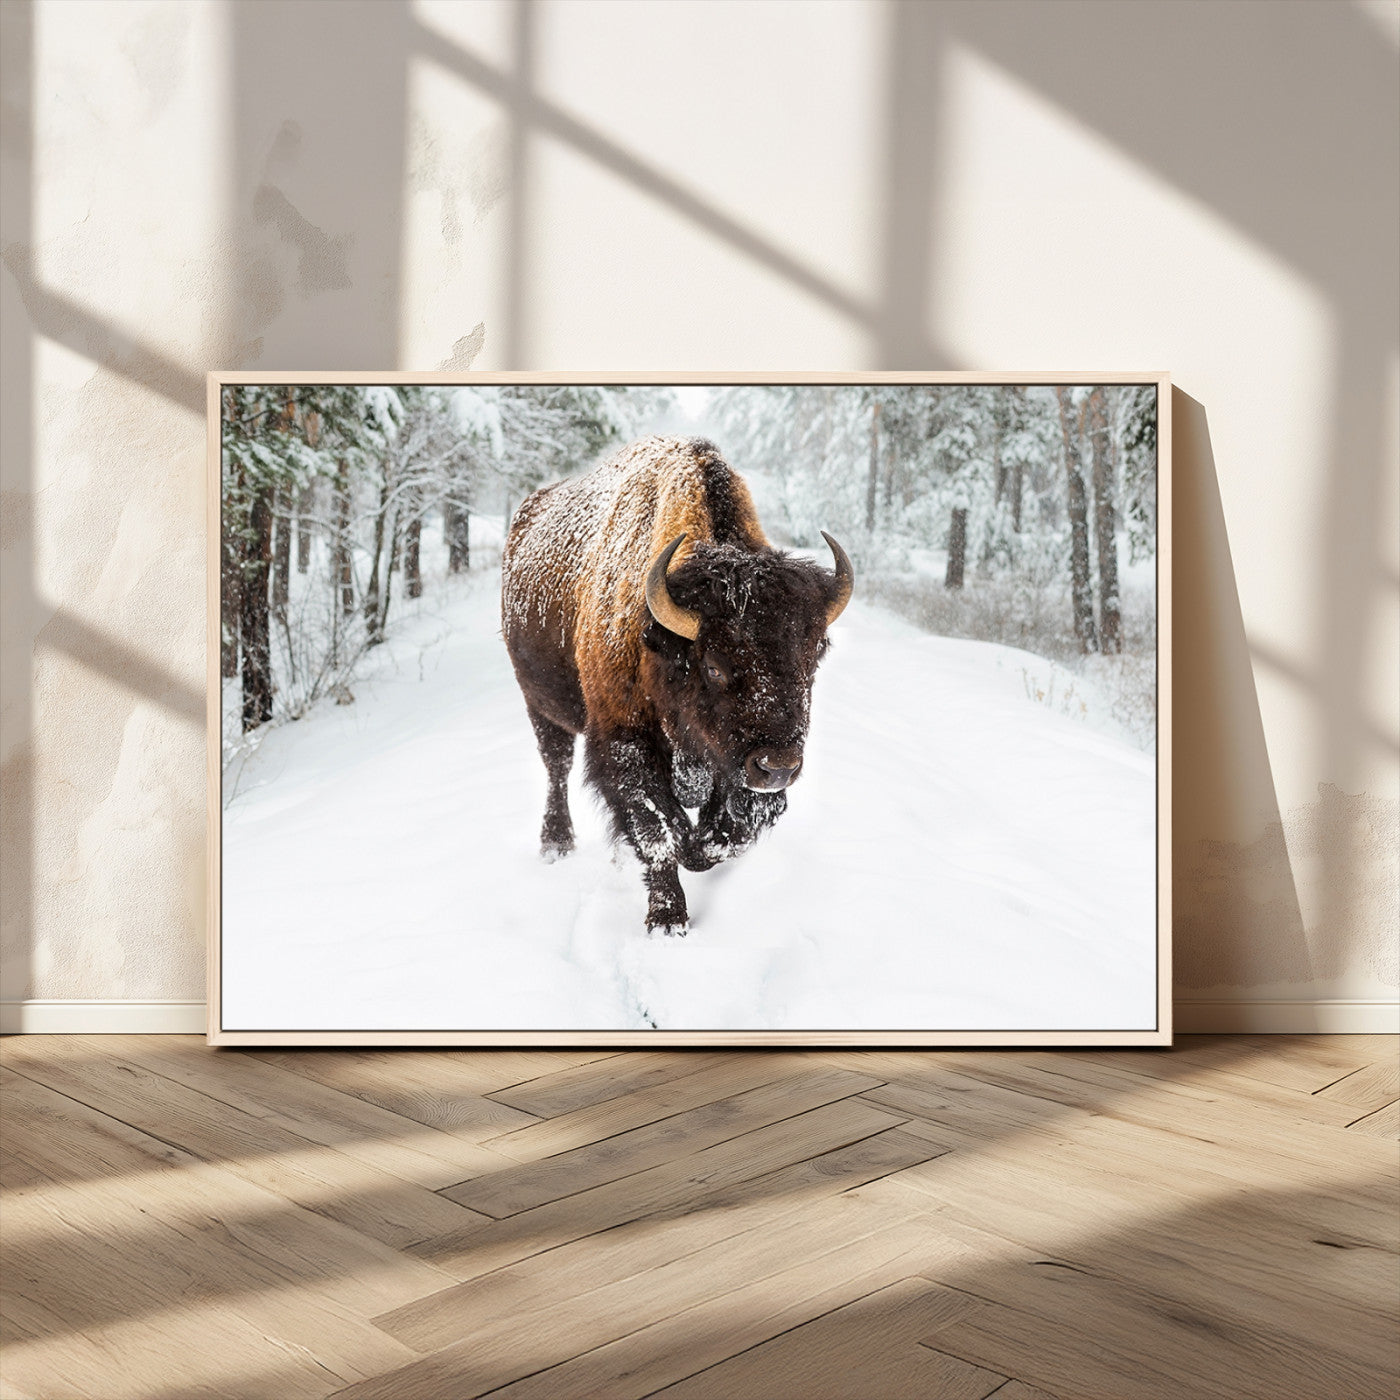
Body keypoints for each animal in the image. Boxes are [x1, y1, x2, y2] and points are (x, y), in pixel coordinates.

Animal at [502, 435, 852, 935]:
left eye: (814, 656)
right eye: (714, 666)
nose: (779, 767)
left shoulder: (731, 765)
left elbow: (729, 833)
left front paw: (699, 849)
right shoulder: (625, 742)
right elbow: (658, 831)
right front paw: (667, 920)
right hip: (539, 703)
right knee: (556, 764)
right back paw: (556, 844)